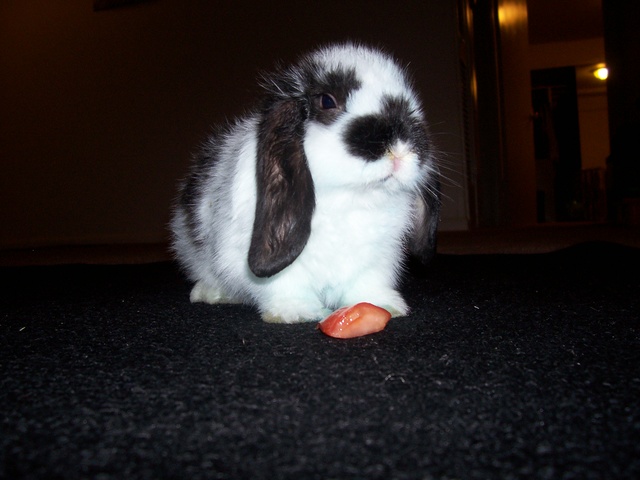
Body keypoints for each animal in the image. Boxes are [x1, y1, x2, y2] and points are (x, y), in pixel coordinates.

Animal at [171, 42, 441, 324]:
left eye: (411, 104)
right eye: (327, 101)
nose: (399, 147)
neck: (351, 197)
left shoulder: (378, 259)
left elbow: (367, 285)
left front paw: (382, 305)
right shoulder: (273, 264)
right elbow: (286, 285)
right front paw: (296, 313)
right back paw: (210, 293)